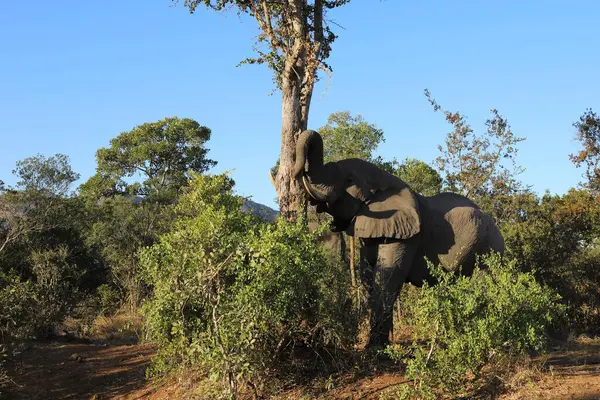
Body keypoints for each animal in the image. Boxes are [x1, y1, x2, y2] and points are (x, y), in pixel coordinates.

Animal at [292, 130, 504, 346]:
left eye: (349, 180)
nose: (296, 172)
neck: (386, 181)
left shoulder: (407, 236)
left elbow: (387, 279)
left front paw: (375, 347)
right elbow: (368, 278)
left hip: (488, 248)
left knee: (483, 286)